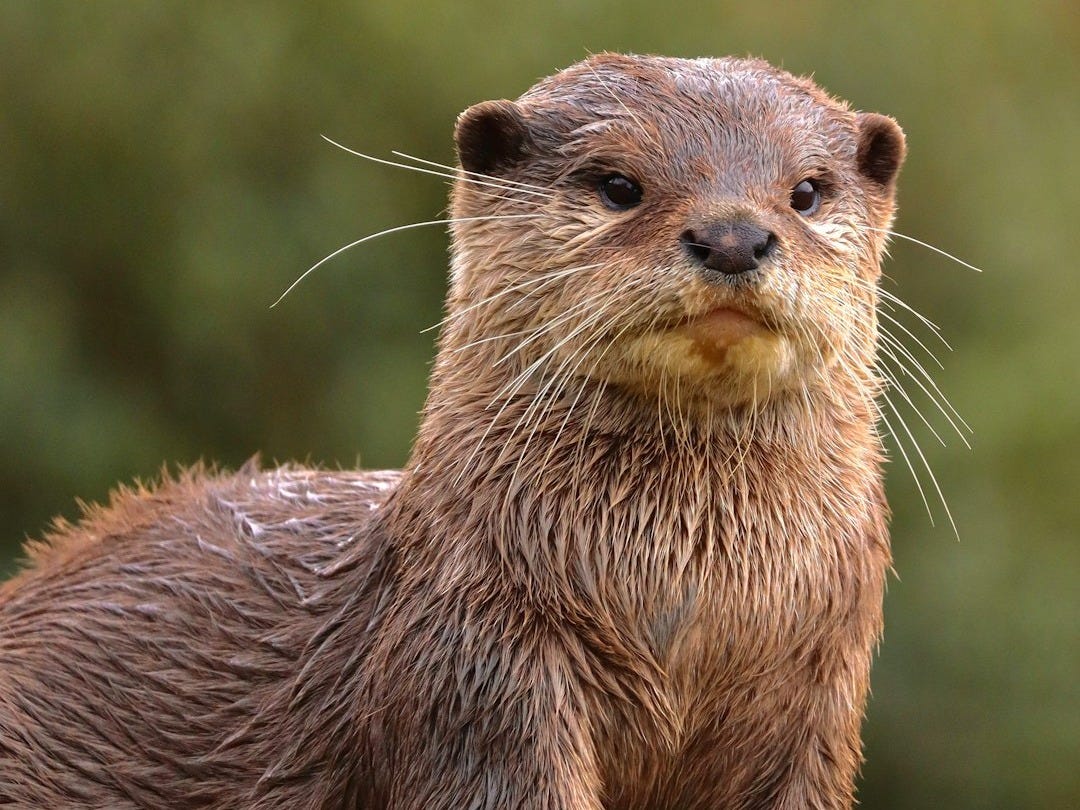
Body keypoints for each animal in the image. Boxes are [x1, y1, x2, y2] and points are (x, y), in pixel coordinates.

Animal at [0, 53, 905, 808]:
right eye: (618, 184)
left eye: (807, 191)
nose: (732, 235)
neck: (684, 612)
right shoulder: (481, 669)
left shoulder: (819, 694)